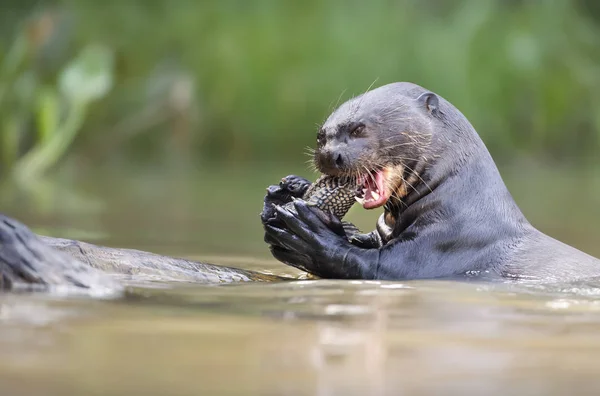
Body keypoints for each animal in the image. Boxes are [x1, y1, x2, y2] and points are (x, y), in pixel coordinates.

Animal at [262, 82, 600, 284]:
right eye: (321, 136)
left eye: (359, 129)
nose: (330, 154)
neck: (462, 202)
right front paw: (285, 191)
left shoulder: (448, 242)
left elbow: (373, 265)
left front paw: (308, 234)